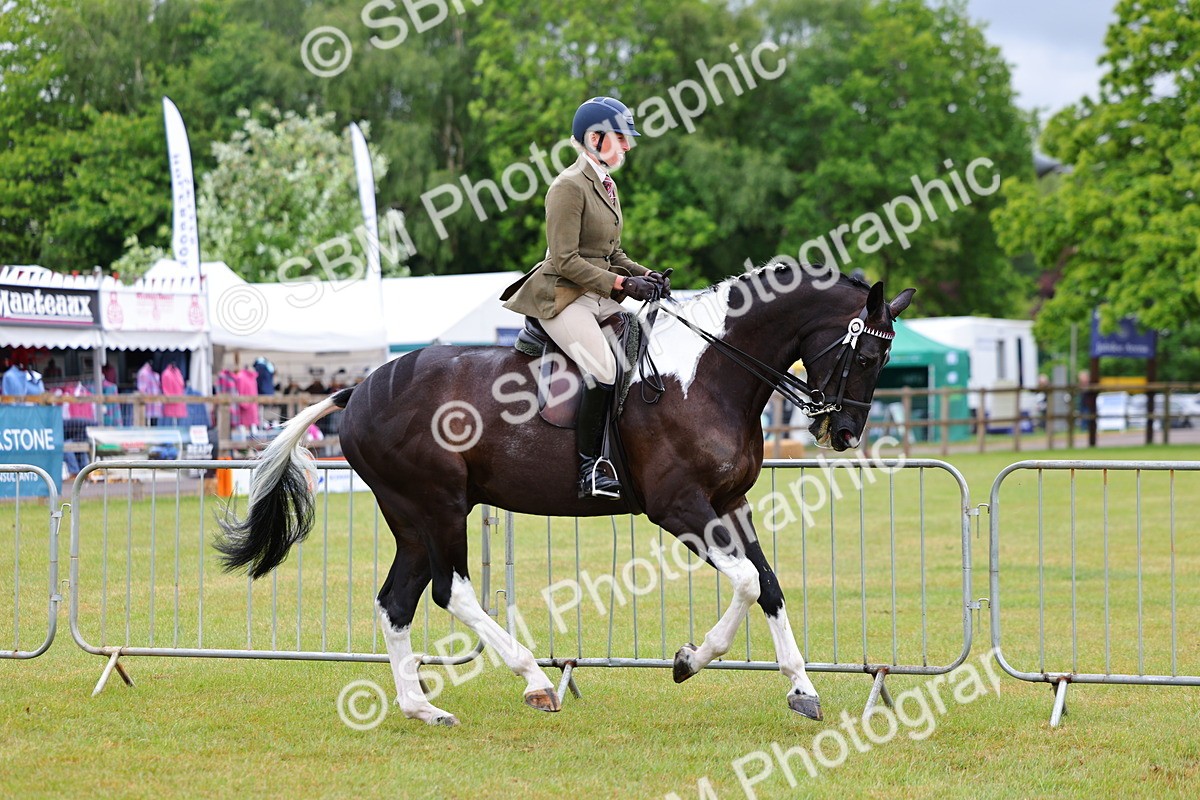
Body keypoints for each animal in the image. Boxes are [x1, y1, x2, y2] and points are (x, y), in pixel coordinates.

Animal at [216, 263, 915, 726]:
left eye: (884, 362)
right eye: (864, 357)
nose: (844, 433)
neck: (709, 372)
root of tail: (357, 390)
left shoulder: (730, 503)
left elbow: (767, 585)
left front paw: (801, 688)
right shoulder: (679, 509)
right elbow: (744, 582)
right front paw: (690, 659)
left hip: (414, 518)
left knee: (398, 601)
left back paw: (420, 706)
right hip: (437, 507)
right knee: (450, 591)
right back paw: (532, 680)